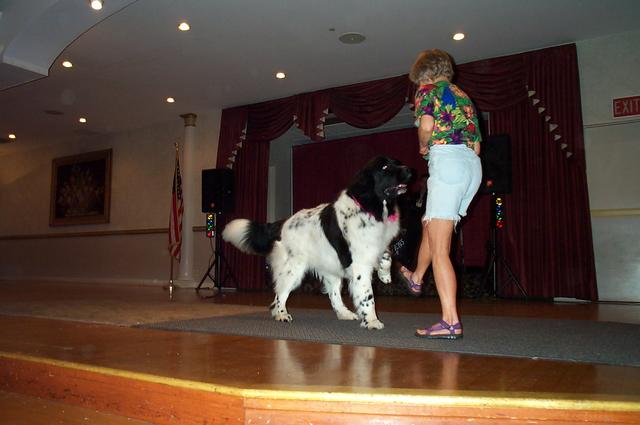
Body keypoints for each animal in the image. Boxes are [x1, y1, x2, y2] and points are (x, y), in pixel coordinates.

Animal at [222, 156, 412, 329]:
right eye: (385, 167)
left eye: (396, 163)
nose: (409, 170)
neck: (370, 207)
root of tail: (283, 223)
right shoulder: (360, 264)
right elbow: (367, 295)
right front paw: (372, 321)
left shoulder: (378, 244)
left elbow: (387, 256)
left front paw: (385, 276)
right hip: (294, 268)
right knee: (280, 292)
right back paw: (281, 314)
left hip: (329, 266)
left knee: (334, 295)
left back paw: (343, 313)